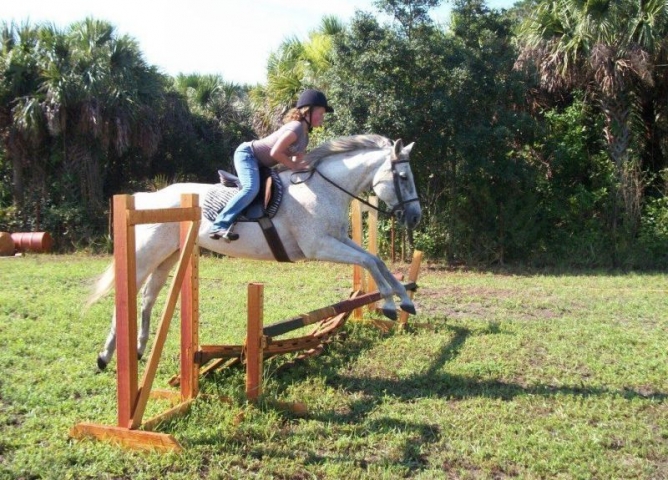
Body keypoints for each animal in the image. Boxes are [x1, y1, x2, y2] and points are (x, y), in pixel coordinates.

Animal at [90, 133, 420, 370]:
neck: (323, 190)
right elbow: (368, 261)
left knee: (147, 297)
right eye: (404, 177)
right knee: (128, 295)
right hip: (147, 254)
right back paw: (105, 357)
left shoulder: (337, 240)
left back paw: (138, 350)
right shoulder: (320, 246)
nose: (415, 217)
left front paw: (405, 301)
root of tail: (146, 199)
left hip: (170, 255)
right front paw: (389, 305)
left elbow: (376, 261)